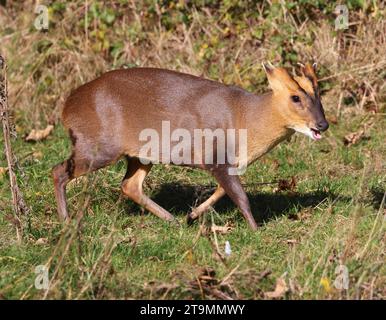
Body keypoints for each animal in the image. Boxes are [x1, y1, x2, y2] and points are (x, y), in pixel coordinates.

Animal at [52, 62, 328, 230]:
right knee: (58, 171)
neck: (246, 119)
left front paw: (192, 214)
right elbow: (240, 196)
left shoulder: (227, 163)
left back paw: (173, 220)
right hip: (99, 145)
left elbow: (222, 191)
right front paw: (256, 229)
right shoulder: (216, 155)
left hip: (140, 154)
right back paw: (66, 220)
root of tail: (66, 110)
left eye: (318, 95)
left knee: (129, 185)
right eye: (295, 97)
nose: (322, 124)